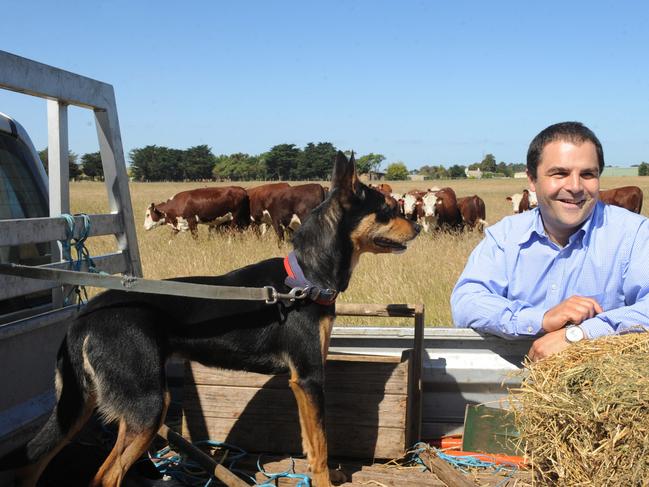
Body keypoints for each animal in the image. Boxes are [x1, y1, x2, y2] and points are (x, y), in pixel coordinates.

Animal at [1, 152, 420, 484]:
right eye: (387, 210)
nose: (417, 226)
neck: (306, 276)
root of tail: (83, 319)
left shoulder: (300, 384)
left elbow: (309, 440)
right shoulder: (309, 376)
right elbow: (320, 445)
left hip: (80, 403)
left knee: (31, 463)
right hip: (147, 405)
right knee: (104, 477)